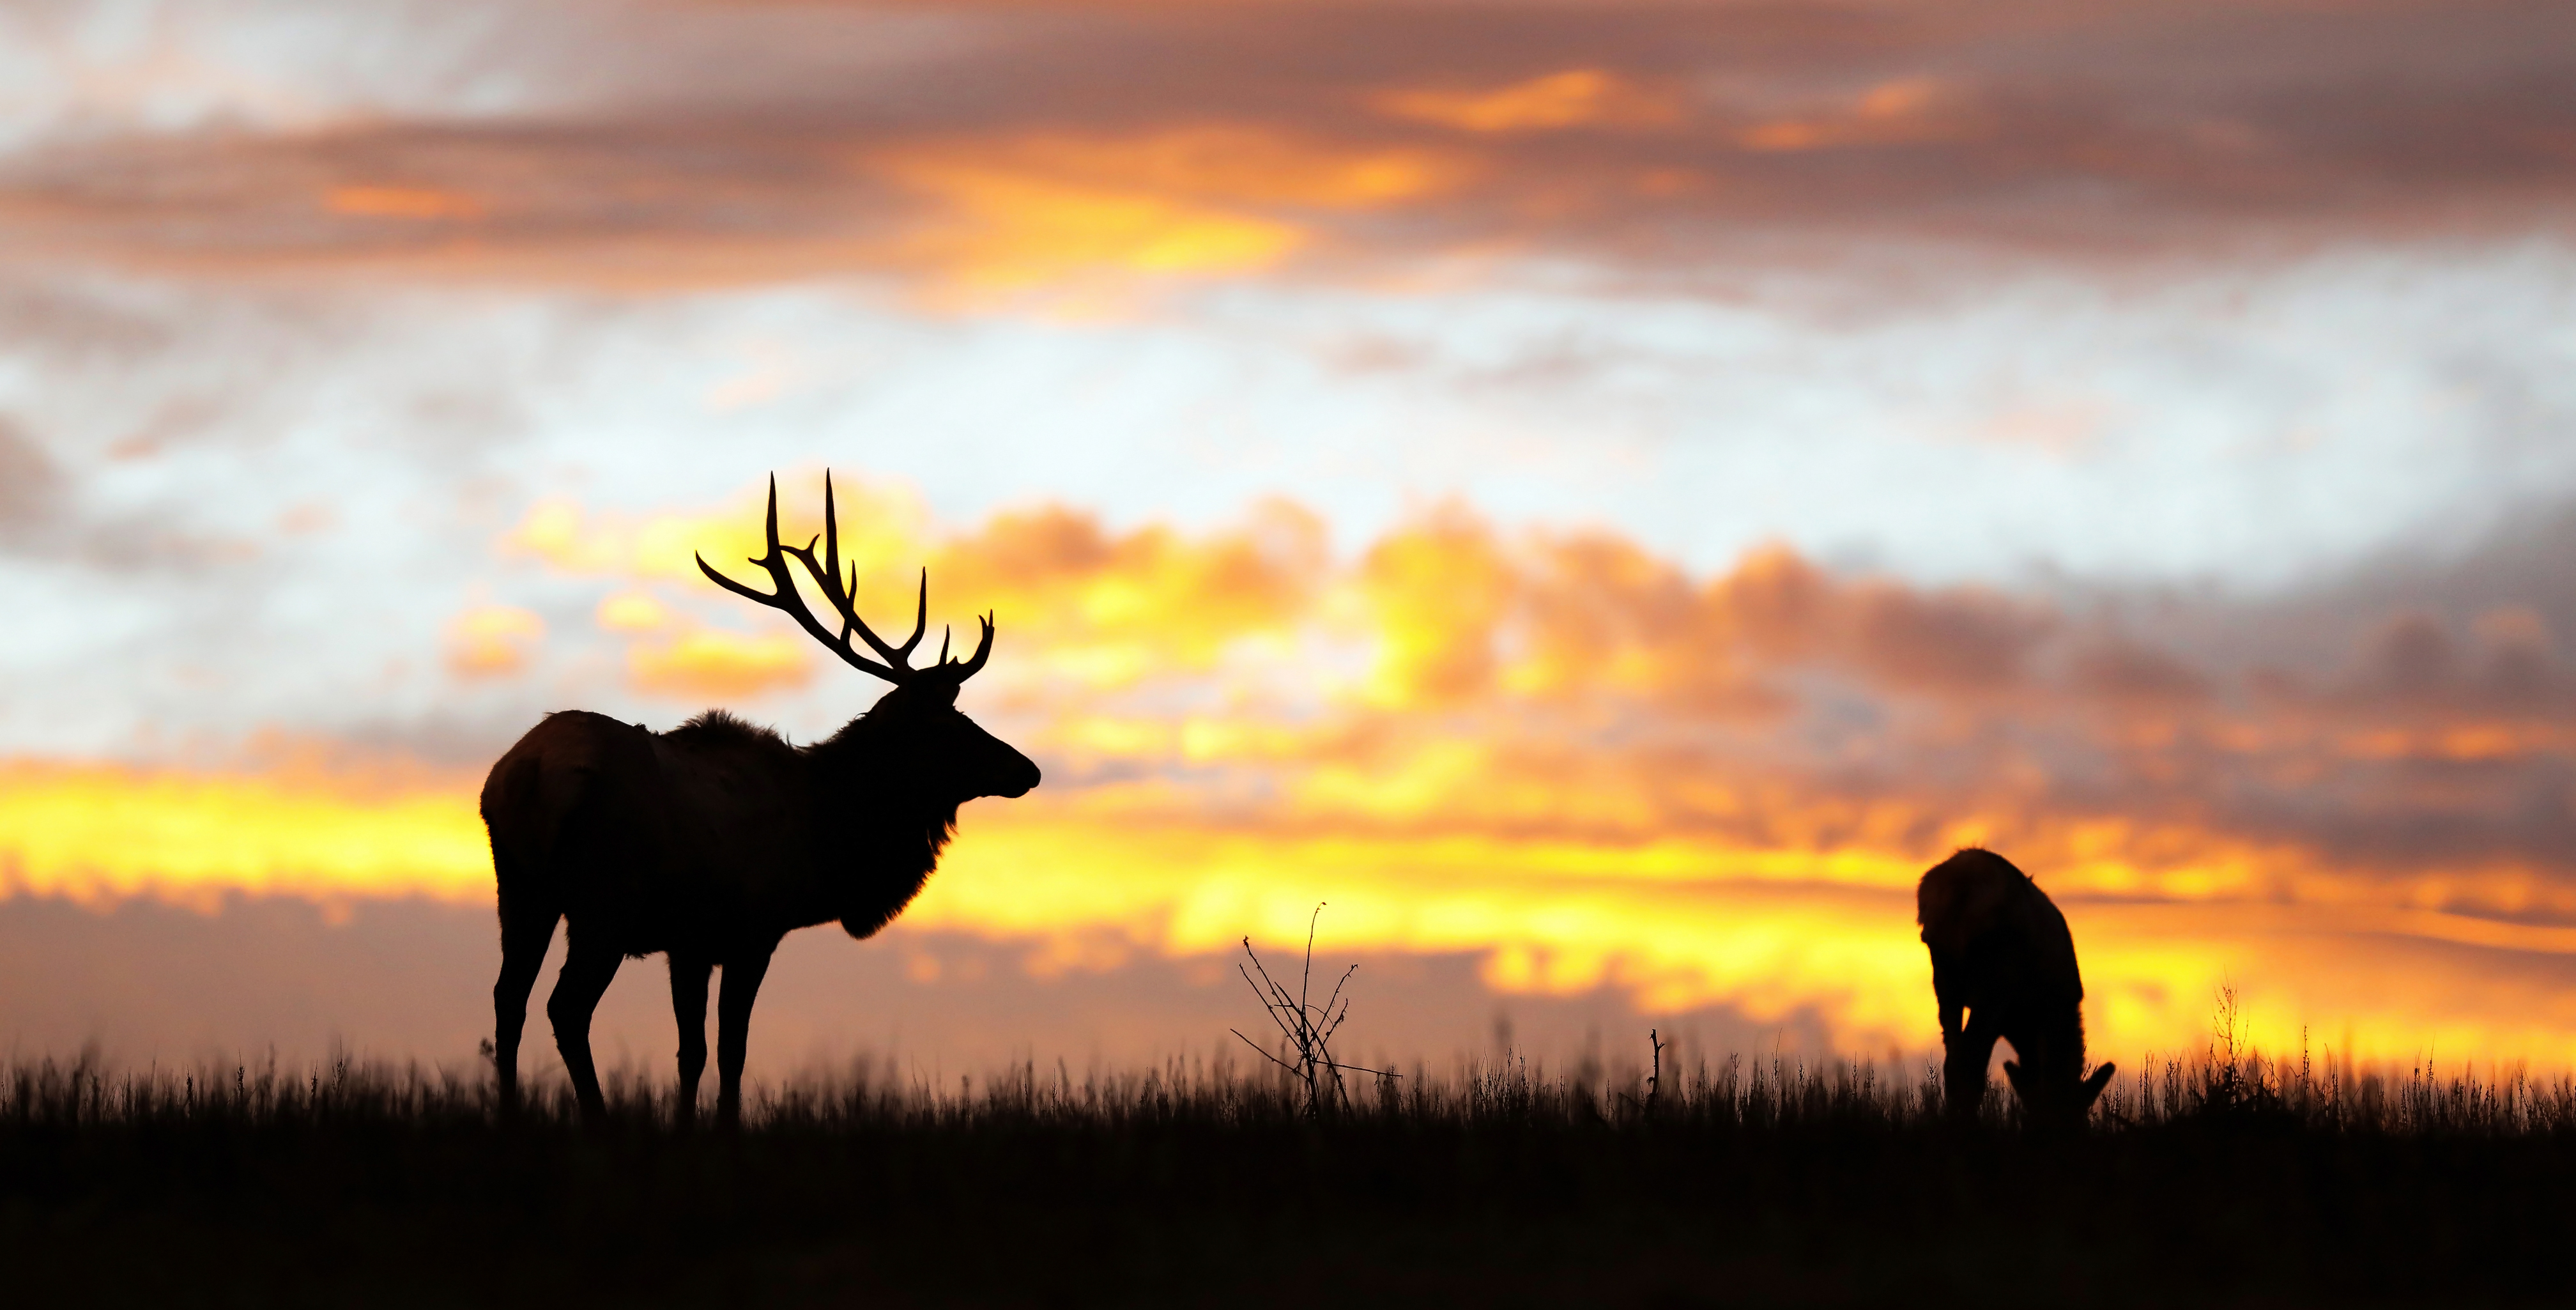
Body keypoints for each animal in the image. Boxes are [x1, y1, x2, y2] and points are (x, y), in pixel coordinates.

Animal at [479, 477, 1040, 1119]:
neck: (825, 842)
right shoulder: (754, 929)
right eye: (948, 726)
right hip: (604, 902)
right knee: (565, 1007)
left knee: (508, 999)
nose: (1027, 769)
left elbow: (691, 1052)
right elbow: (731, 1051)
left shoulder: (690, 943)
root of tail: (528, 773)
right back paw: (596, 1118)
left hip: (521, 888)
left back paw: (509, 1115)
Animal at [1916, 851, 2112, 1124]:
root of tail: (1960, 885)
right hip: (1994, 986)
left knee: (1953, 1058)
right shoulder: (2047, 1011)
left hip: (1945, 979)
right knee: (1969, 1058)